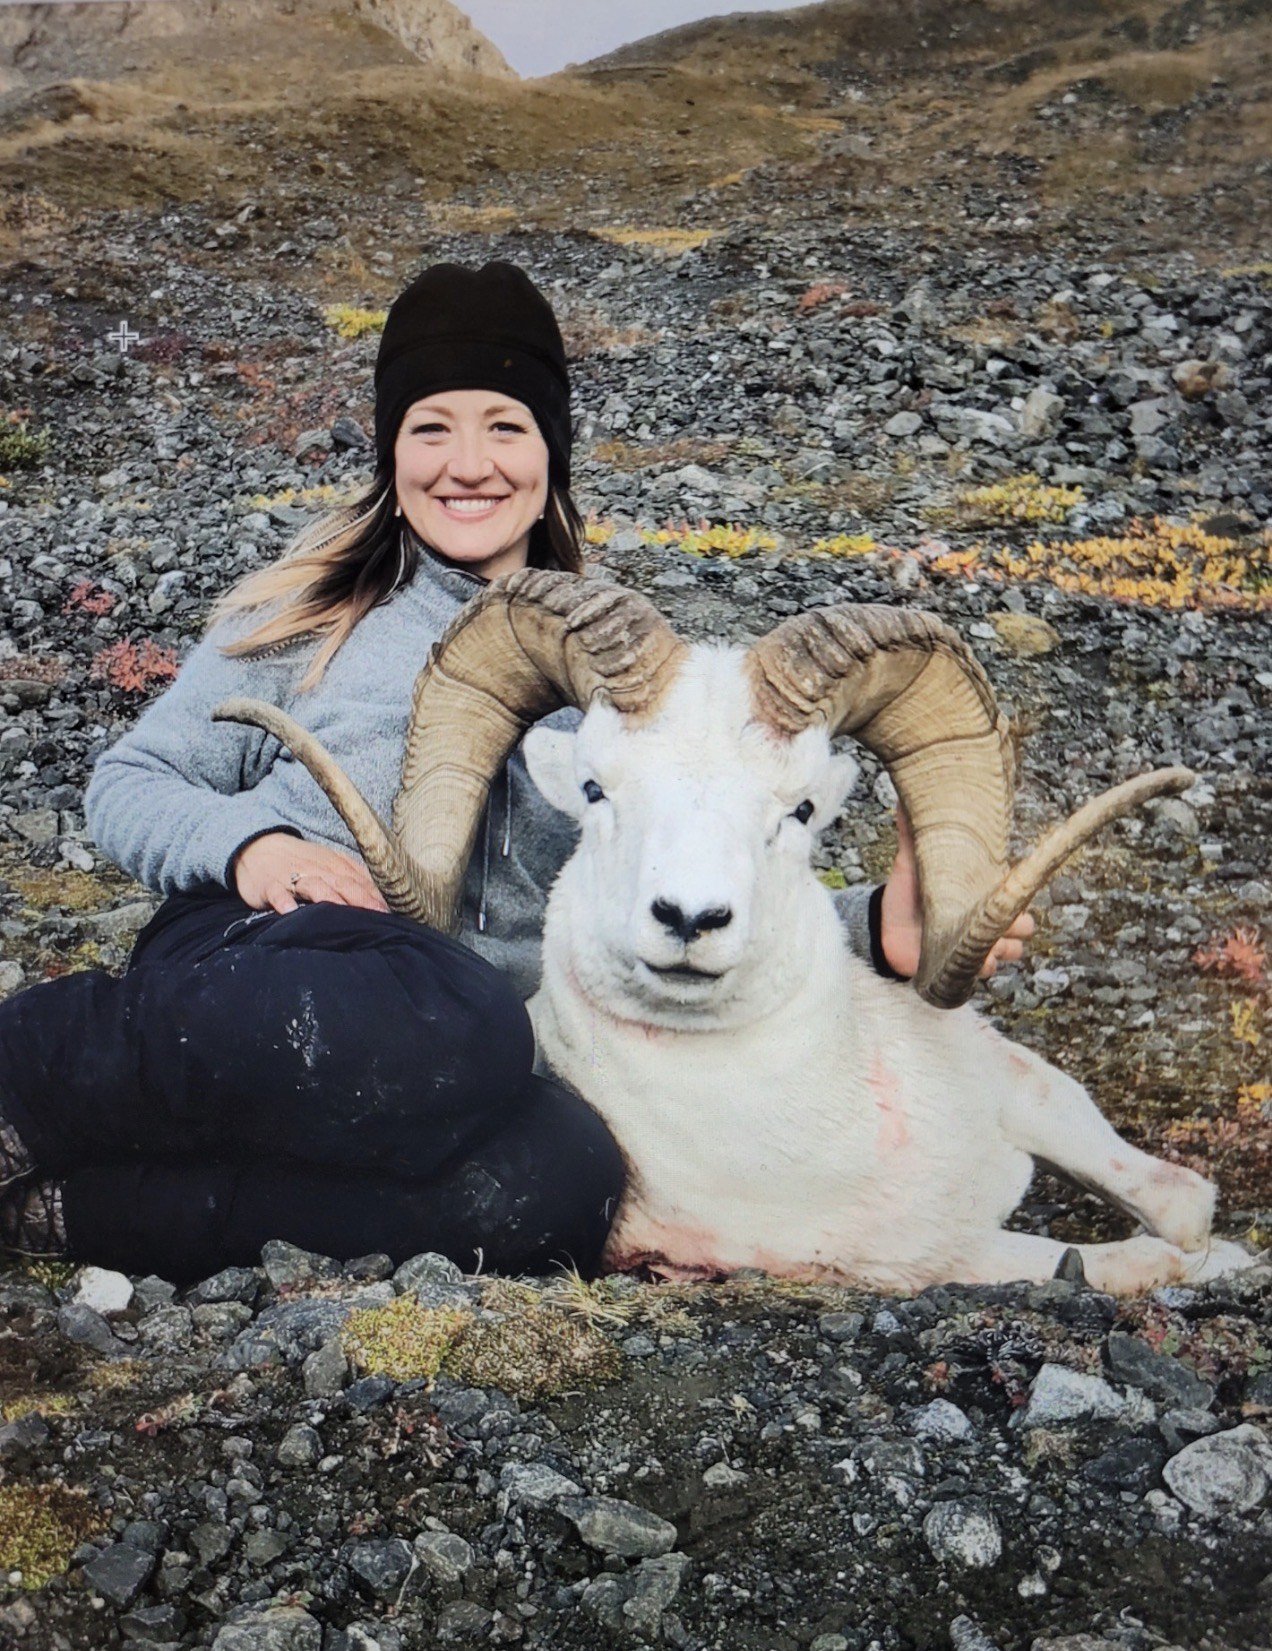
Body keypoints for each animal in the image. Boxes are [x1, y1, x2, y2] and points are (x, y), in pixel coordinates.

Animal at [214, 570, 1255, 1296]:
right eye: (595, 788)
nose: (689, 918)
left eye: (800, 809)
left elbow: (1180, 1195)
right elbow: (1146, 1258)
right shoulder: (936, 1257)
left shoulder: (1017, 1084)